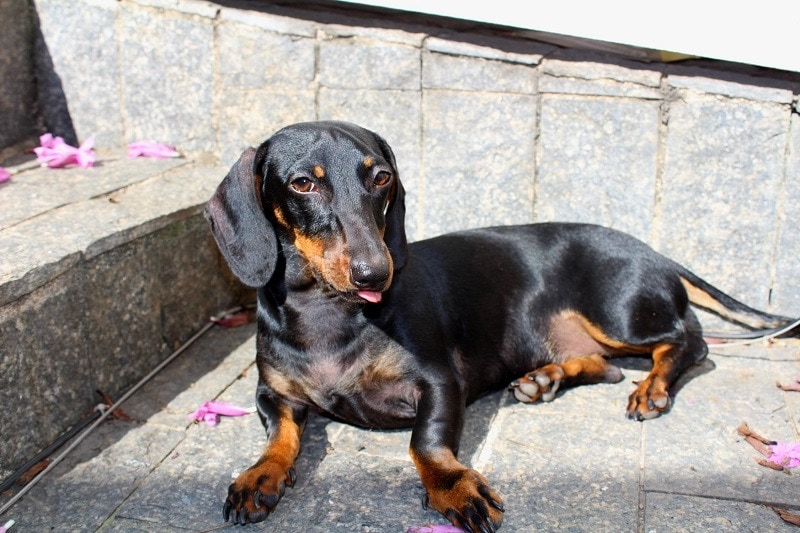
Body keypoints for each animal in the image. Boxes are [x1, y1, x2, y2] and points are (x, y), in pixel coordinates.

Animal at [205, 118, 792, 528]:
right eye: (303, 183)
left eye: (381, 177)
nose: (377, 271)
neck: (329, 313)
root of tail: (656, 253)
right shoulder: (271, 393)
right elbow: (280, 433)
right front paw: (260, 473)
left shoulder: (440, 383)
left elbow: (425, 443)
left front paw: (454, 487)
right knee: (606, 367)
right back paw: (545, 380)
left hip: (622, 311)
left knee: (688, 343)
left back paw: (651, 388)